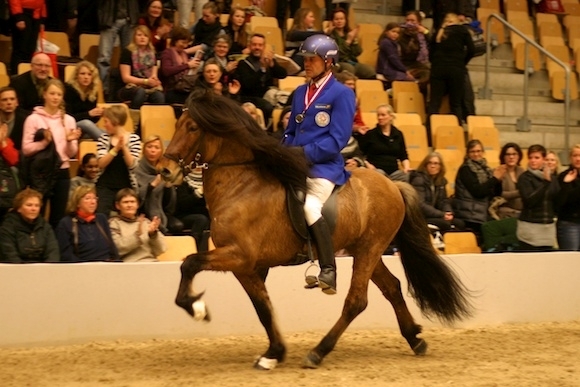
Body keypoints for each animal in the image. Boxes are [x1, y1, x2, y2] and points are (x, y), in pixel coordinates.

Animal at [157, 90, 472, 370]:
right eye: (177, 124)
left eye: (192, 127)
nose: (164, 170)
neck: (241, 184)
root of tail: (393, 184)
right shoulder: (246, 266)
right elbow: (262, 307)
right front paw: (273, 353)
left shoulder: (238, 256)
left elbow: (189, 263)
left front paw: (197, 308)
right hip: (367, 250)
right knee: (392, 287)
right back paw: (414, 338)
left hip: (369, 250)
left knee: (356, 301)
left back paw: (318, 351)